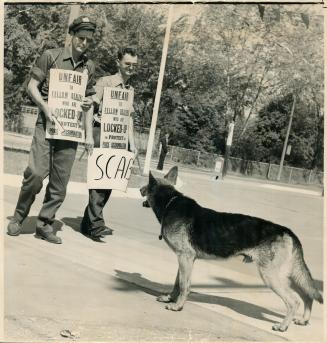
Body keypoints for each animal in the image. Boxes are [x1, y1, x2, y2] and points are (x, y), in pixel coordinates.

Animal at [140, 167, 322, 334]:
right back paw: (303, 320)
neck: (170, 202)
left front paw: (177, 306)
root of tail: (287, 231)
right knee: (308, 295)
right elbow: (177, 283)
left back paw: (283, 326)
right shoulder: (185, 260)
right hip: (290, 275)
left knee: (294, 301)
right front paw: (170, 299)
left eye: (146, 186)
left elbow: (184, 285)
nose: (140, 190)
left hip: (271, 276)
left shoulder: (185, 258)